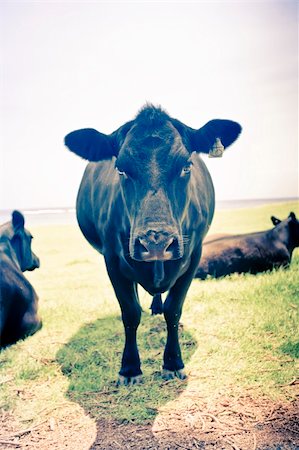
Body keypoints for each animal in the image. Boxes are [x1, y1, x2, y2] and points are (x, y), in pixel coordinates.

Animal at [65, 104, 241, 384]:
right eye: (121, 169)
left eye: (186, 166)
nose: (156, 242)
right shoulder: (112, 258)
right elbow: (130, 312)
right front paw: (129, 368)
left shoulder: (194, 254)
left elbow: (174, 309)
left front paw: (173, 363)